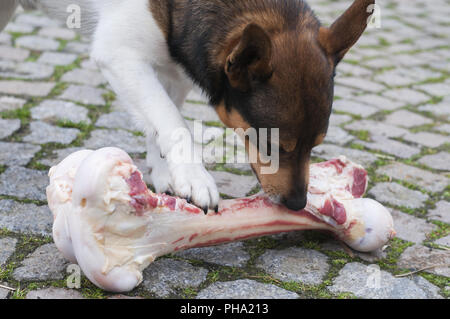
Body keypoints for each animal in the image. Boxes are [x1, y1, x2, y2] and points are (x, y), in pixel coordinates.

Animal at [1, 1, 376, 214]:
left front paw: (165, 174)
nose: (298, 205)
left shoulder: (173, 70)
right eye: (273, 145)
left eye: (316, 146)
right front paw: (194, 177)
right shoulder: (118, 52)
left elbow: (159, 124)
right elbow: (172, 122)